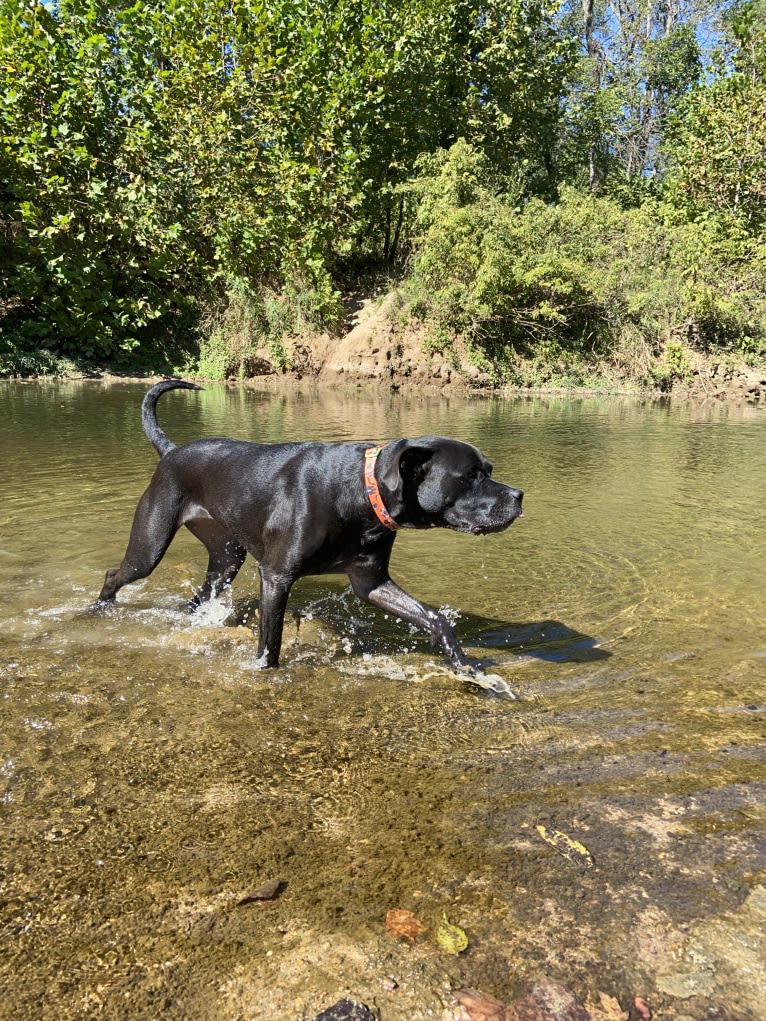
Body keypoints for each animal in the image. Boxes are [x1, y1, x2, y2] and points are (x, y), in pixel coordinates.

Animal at [99, 379, 527, 673]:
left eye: (488, 470)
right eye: (471, 475)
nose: (519, 495)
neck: (358, 492)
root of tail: (171, 452)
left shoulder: (371, 582)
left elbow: (435, 620)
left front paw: (465, 666)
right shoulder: (276, 577)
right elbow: (270, 644)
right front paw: (264, 672)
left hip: (225, 559)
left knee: (197, 598)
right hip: (150, 545)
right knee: (113, 574)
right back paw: (97, 611)